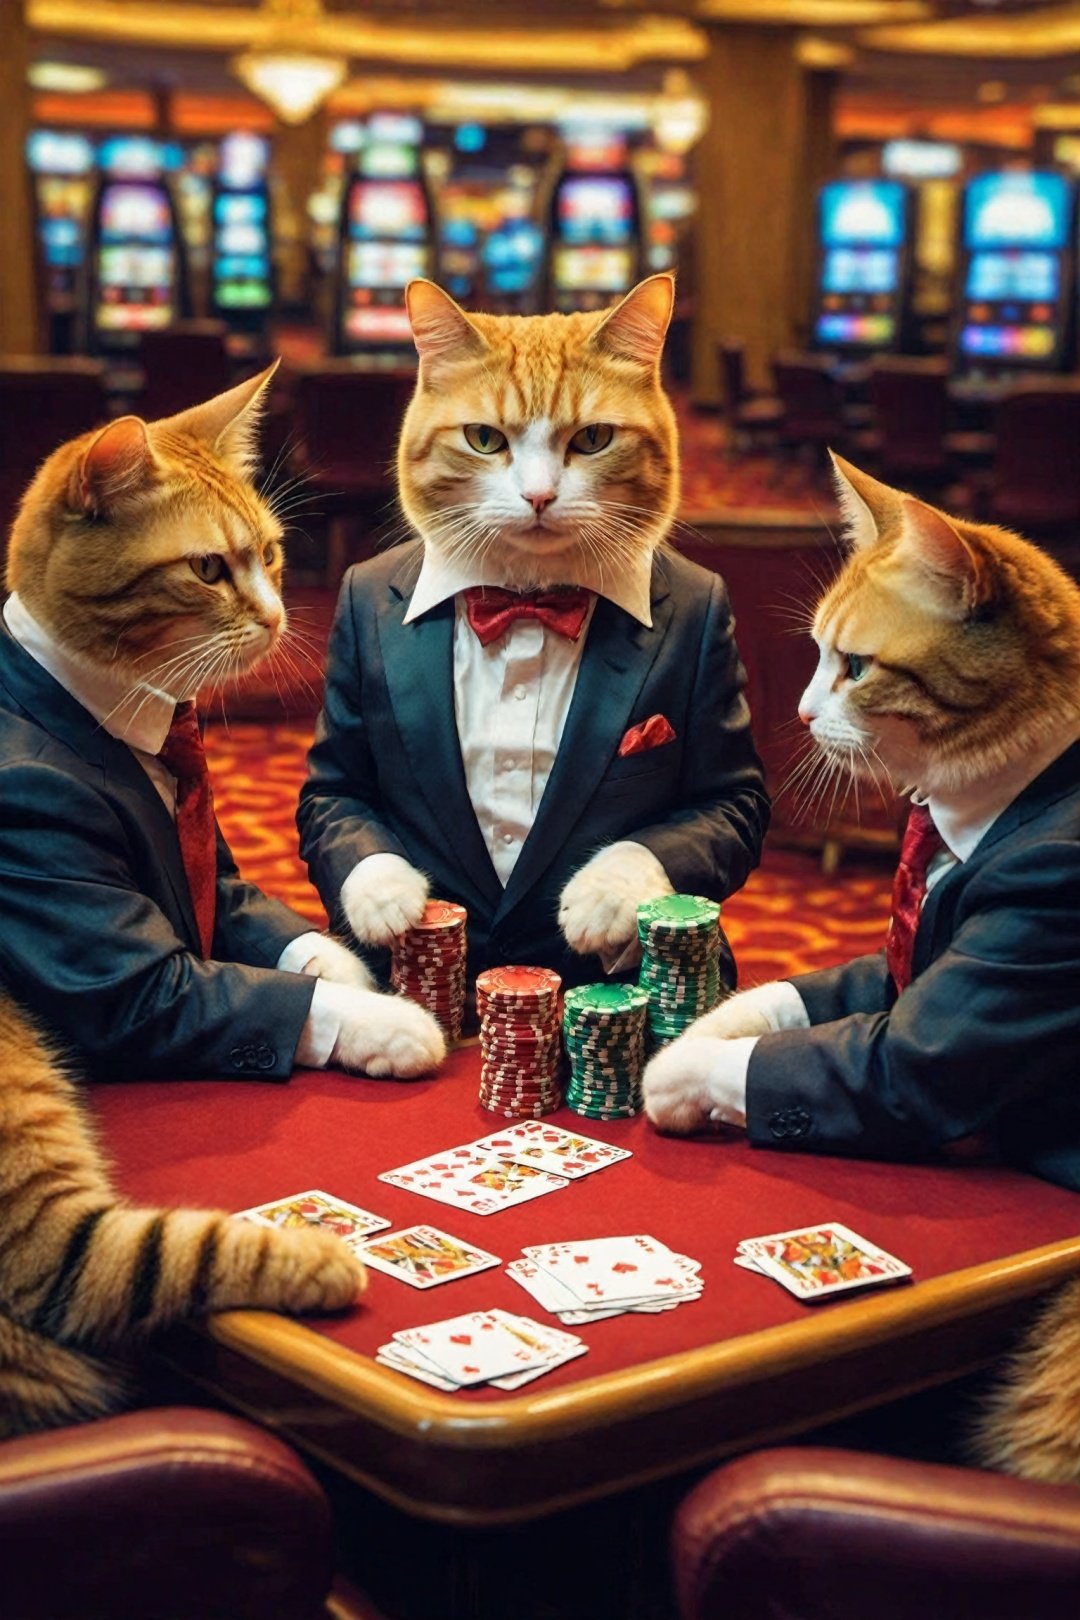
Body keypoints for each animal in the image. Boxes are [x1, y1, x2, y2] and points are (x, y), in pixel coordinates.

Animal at [296, 278, 767, 984]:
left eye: (595, 438)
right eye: (483, 439)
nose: (539, 497)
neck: (527, 599)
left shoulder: (727, 783)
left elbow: (710, 810)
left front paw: (604, 895)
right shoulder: (340, 747)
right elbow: (340, 797)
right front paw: (386, 897)